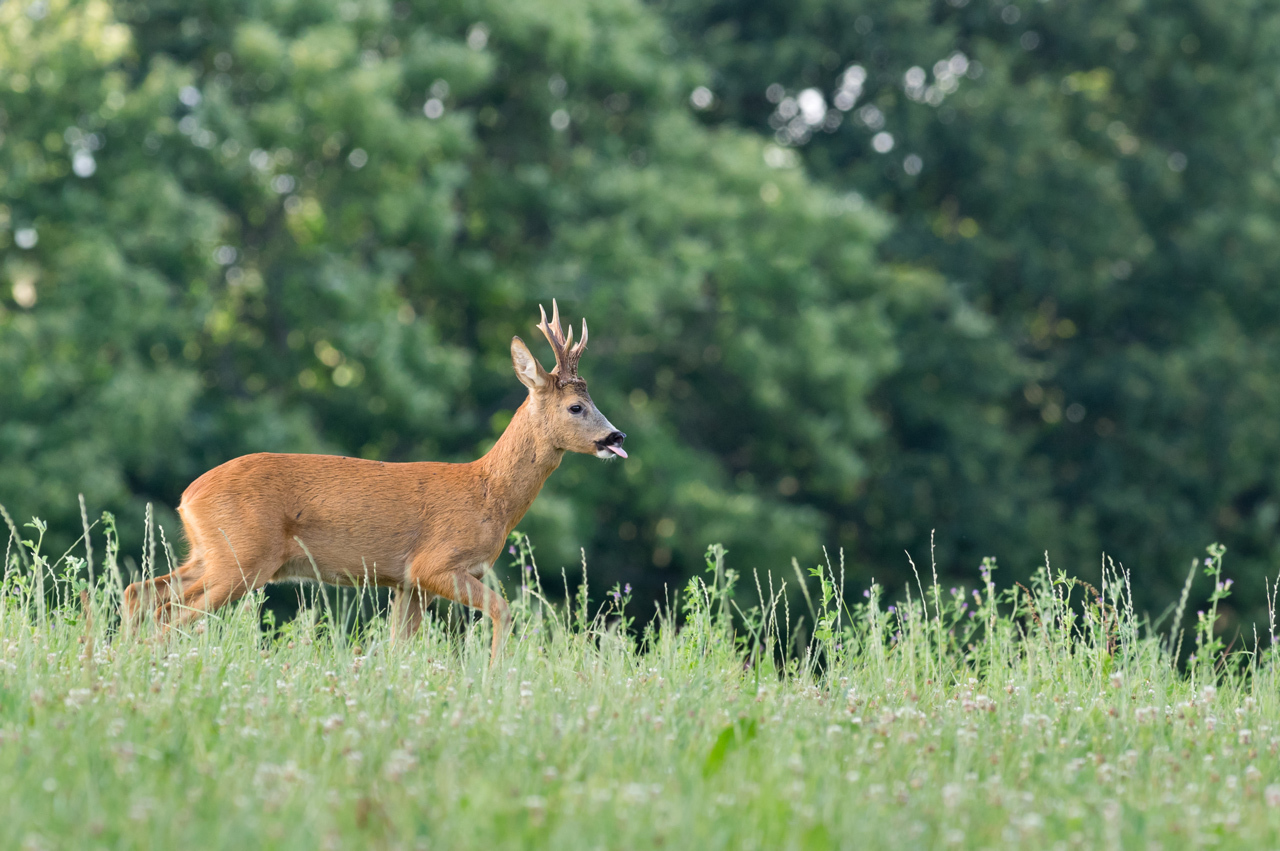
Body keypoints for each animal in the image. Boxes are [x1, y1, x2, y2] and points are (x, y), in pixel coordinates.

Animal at [122, 301, 627, 663]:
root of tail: (188, 496)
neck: (489, 494)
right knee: (169, 612)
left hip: (209, 552)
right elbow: (503, 609)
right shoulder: (434, 563)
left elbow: (399, 647)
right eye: (576, 407)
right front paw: (494, 679)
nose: (616, 437)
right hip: (241, 556)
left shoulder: (406, 582)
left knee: (141, 592)